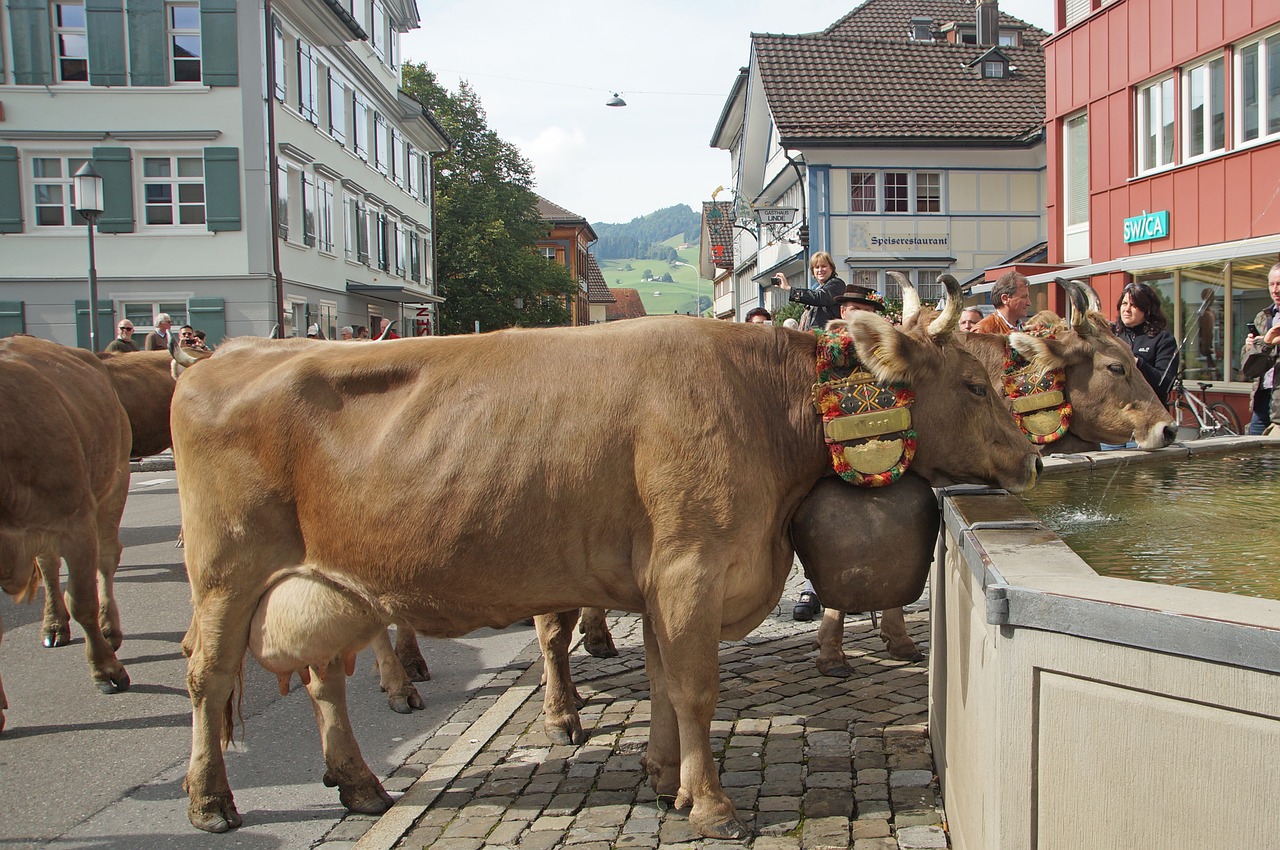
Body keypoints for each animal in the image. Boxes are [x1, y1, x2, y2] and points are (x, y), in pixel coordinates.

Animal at [0, 335, 132, 732]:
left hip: (113, 485)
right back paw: (53, 624)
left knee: (106, 561)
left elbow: (82, 599)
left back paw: (109, 629)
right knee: (47, 565)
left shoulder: (77, 524)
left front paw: (106, 670)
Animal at [170, 305, 1039, 834]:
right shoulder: (690, 565)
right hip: (225, 570)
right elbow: (696, 688)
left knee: (323, 676)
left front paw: (662, 778)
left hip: (319, 581)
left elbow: (661, 681)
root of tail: (224, 358)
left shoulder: (660, 579)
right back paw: (211, 801)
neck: (763, 400)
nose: (1030, 460)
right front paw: (711, 805)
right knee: (207, 673)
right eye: (972, 383)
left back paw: (357, 783)